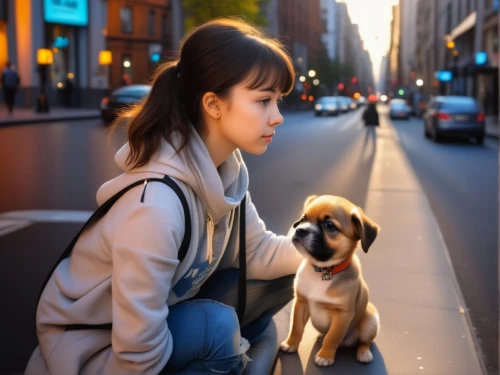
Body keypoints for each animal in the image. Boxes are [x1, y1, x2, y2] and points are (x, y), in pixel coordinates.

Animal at [280, 194, 380, 368]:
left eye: (329, 225)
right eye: (303, 219)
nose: (300, 230)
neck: (323, 271)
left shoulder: (342, 315)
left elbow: (332, 337)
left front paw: (325, 356)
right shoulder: (301, 303)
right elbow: (296, 328)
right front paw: (291, 344)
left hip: (371, 320)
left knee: (364, 342)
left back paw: (364, 353)